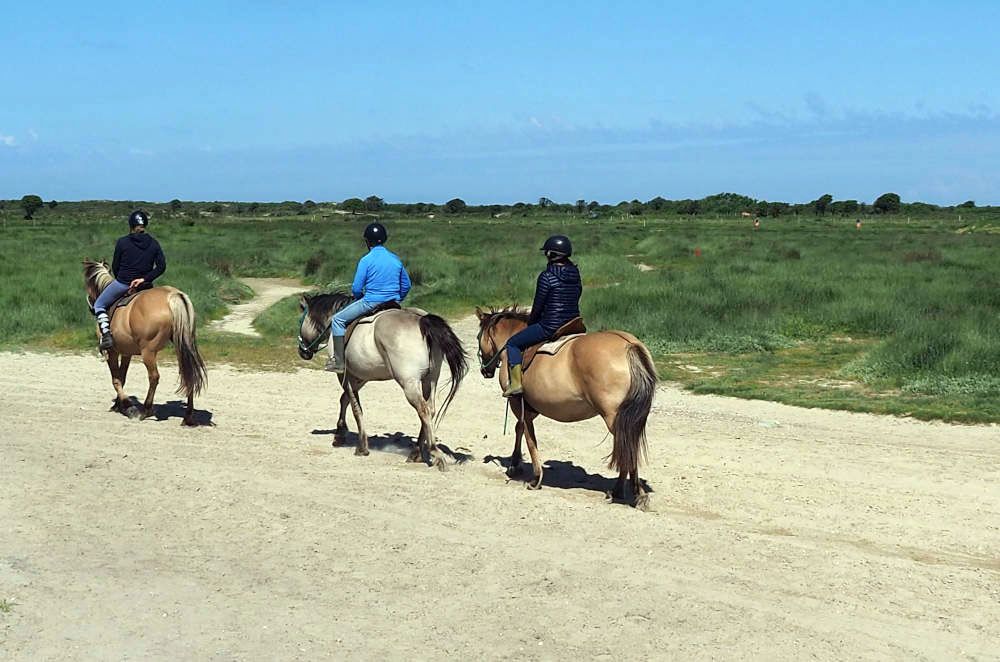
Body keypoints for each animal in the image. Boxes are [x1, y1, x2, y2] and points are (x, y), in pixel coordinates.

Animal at [296, 294, 468, 470]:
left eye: (300, 320)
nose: (302, 352)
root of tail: (421, 320)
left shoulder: (345, 375)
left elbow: (355, 407)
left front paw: (361, 446)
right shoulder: (360, 377)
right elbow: (346, 400)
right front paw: (340, 434)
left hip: (409, 383)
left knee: (424, 410)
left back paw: (433, 452)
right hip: (430, 380)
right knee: (430, 410)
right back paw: (416, 452)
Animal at [474, 308, 660, 510]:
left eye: (478, 336)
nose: (485, 371)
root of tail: (629, 345)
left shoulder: (517, 403)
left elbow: (527, 435)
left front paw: (532, 476)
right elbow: (521, 430)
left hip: (615, 418)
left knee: (628, 448)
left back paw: (631, 493)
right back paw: (623, 491)